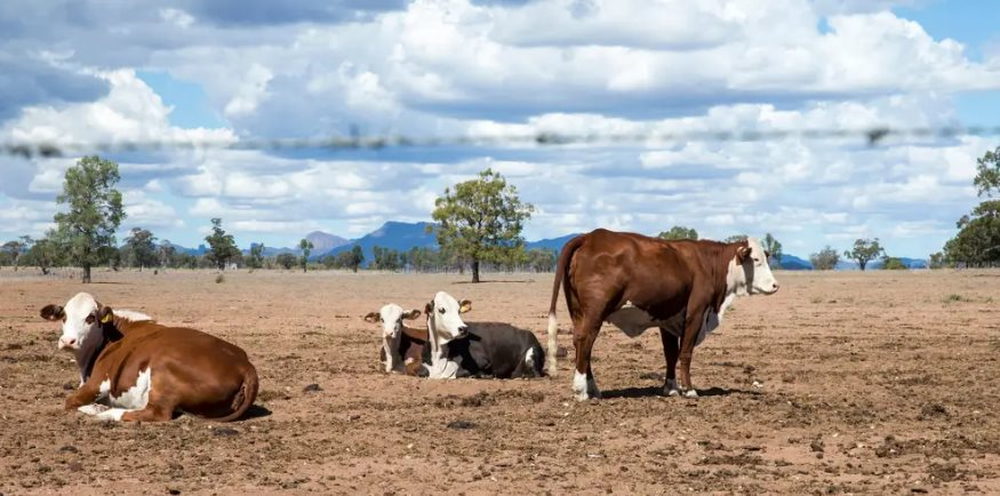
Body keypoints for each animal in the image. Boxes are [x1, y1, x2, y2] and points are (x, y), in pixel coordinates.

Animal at [40, 292, 258, 424]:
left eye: (90, 317)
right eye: (64, 317)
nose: (68, 341)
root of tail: (245, 365)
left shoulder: (98, 382)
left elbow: (70, 401)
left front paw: (96, 408)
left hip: (162, 369)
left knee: (157, 413)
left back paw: (107, 413)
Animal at [548, 231, 780, 402]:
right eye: (756, 260)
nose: (775, 285)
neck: (708, 264)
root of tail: (589, 237)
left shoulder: (668, 320)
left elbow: (671, 354)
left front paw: (671, 387)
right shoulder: (695, 314)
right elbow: (685, 353)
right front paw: (689, 389)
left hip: (578, 312)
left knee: (581, 345)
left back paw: (593, 389)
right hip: (594, 313)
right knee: (585, 341)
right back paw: (581, 390)